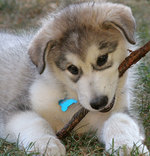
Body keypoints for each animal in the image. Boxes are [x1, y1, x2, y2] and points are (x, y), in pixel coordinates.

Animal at [0, 0, 149, 155]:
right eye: (72, 69)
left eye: (102, 59)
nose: (99, 103)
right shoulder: (16, 108)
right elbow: (35, 121)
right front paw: (47, 145)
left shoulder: (121, 110)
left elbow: (119, 120)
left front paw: (128, 145)